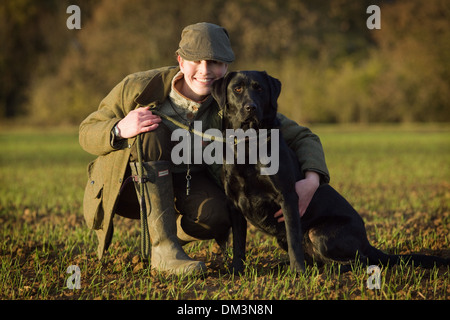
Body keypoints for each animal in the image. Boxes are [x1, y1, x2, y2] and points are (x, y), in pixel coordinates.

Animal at [210, 71, 446, 274]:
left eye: (259, 88)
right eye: (237, 89)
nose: (250, 107)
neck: (247, 144)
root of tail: (367, 242)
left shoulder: (288, 197)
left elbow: (294, 239)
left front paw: (298, 274)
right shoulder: (235, 203)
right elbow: (238, 244)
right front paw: (236, 272)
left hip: (319, 233)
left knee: (360, 261)